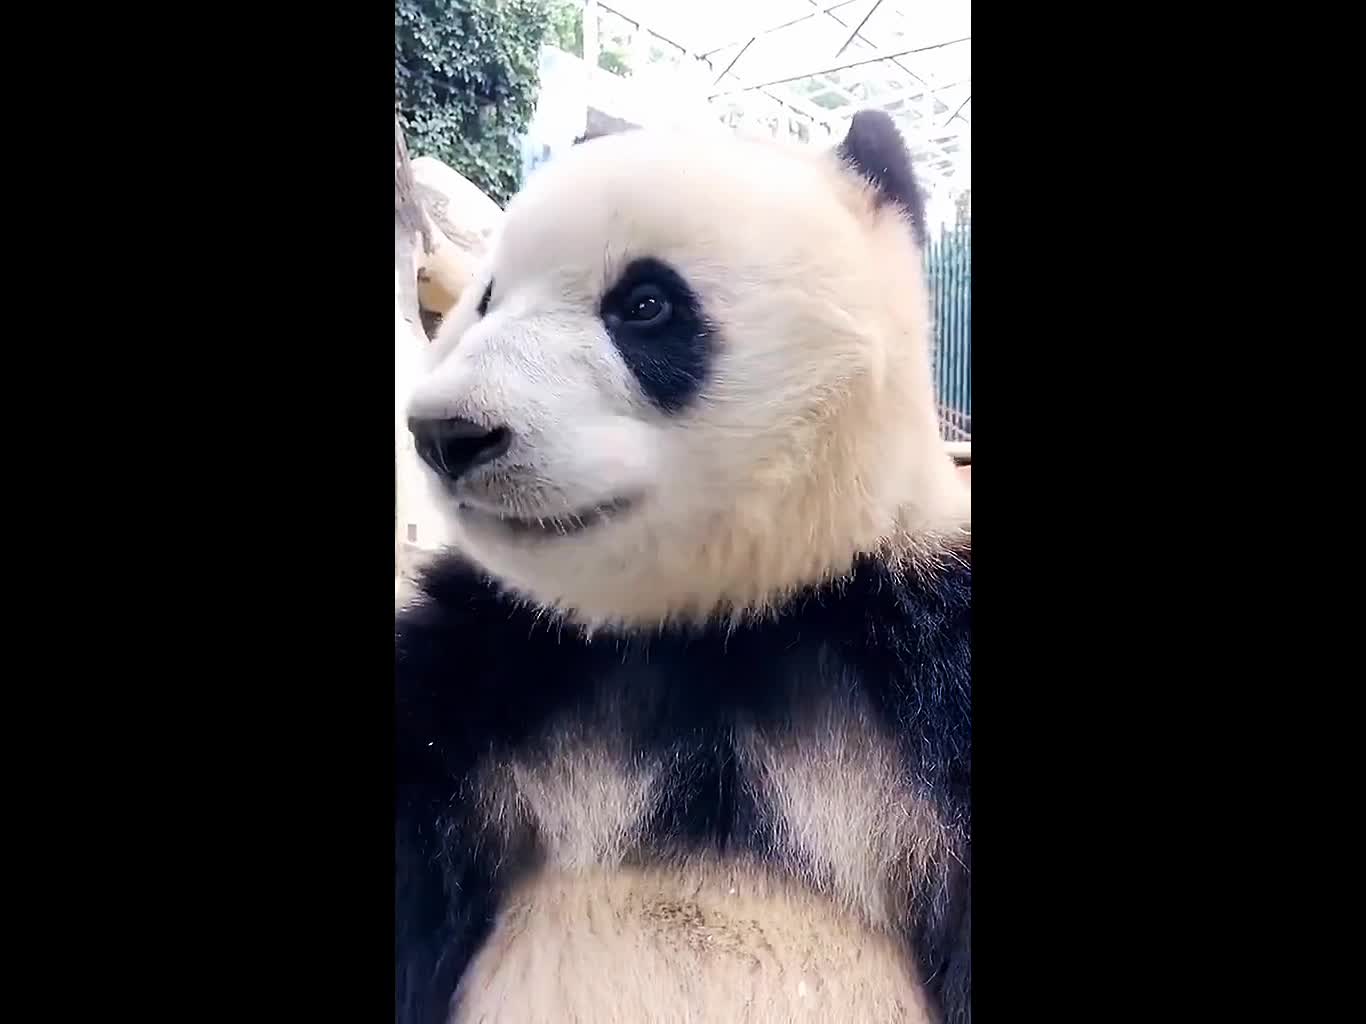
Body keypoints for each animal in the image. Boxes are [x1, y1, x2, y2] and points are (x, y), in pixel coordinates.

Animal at [396, 110, 972, 1024]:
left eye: (645, 304)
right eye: (485, 300)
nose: (449, 433)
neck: (707, 625)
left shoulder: (920, 672)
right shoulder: (485, 674)